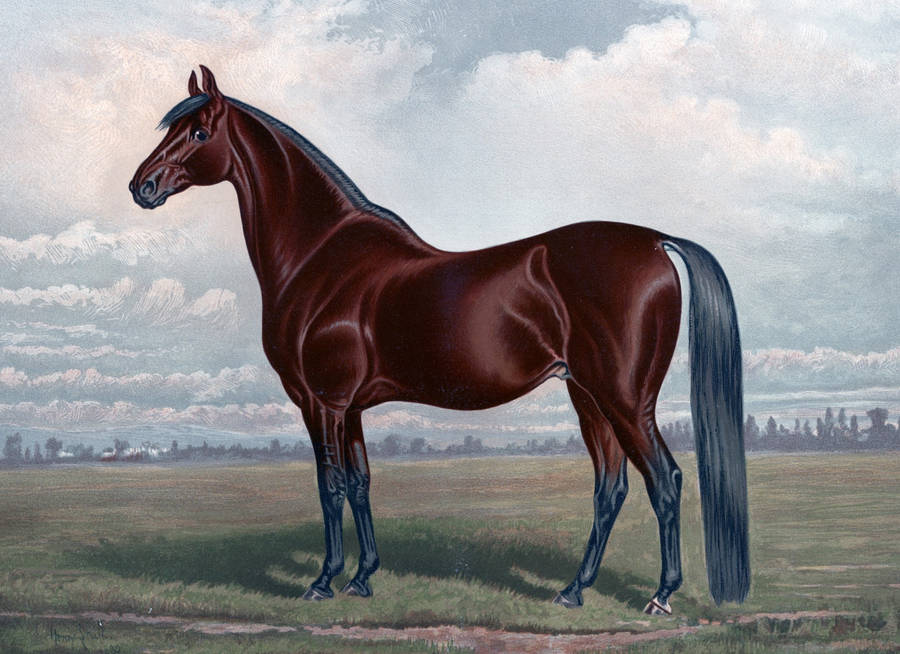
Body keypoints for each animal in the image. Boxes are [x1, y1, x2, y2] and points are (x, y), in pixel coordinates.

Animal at [130, 66, 749, 614]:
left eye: (200, 132)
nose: (142, 186)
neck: (321, 256)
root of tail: (655, 241)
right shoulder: (351, 407)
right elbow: (361, 483)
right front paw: (363, 578)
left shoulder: (321, 402)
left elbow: (330, 485)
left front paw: (324, 581)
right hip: (588, 396)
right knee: (610, 487)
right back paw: (573, 591)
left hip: (624, 399)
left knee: (664, 481)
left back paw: (660, 596)